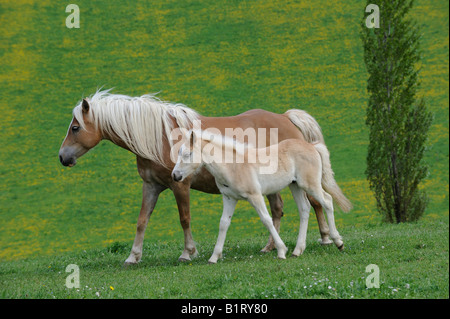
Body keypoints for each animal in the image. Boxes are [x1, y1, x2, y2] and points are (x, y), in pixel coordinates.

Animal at [172, 131, 348, 264]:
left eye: (188, 154)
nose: (175, 176)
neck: (233, 166)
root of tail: (311, 146)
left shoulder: (255, 196)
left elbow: (266, 220)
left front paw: (281, 251)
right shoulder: (229, 198)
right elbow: (223, 224)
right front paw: (214, 257)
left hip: (309, 184)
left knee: (327, 201)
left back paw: (338, 242)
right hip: (295, 185)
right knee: (304, 209)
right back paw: (297, 250)